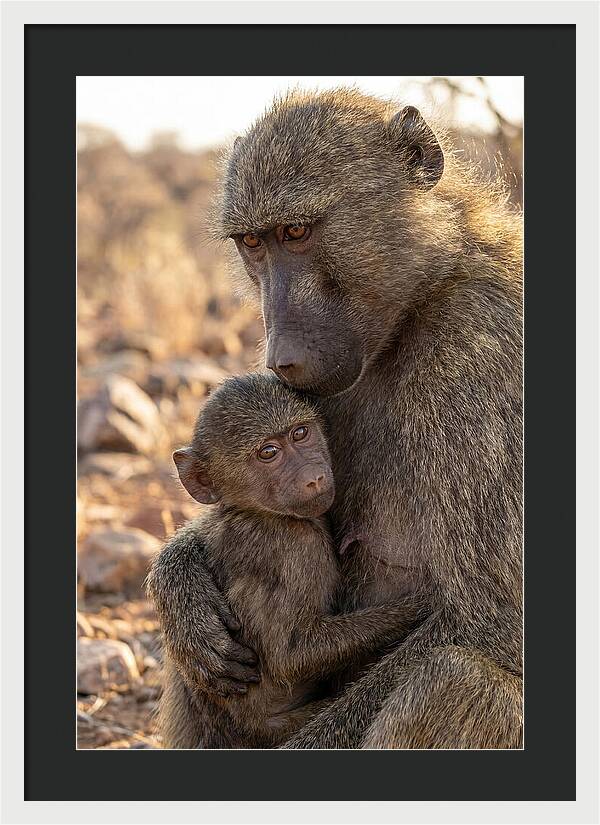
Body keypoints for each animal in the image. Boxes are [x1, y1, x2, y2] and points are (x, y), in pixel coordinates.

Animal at [146, 372, 426, 748]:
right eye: (268, 453)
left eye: (300, 433)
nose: (315, 477)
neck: (255, 511)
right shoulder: (296, 548)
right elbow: (291, 656)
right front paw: (421, 605)